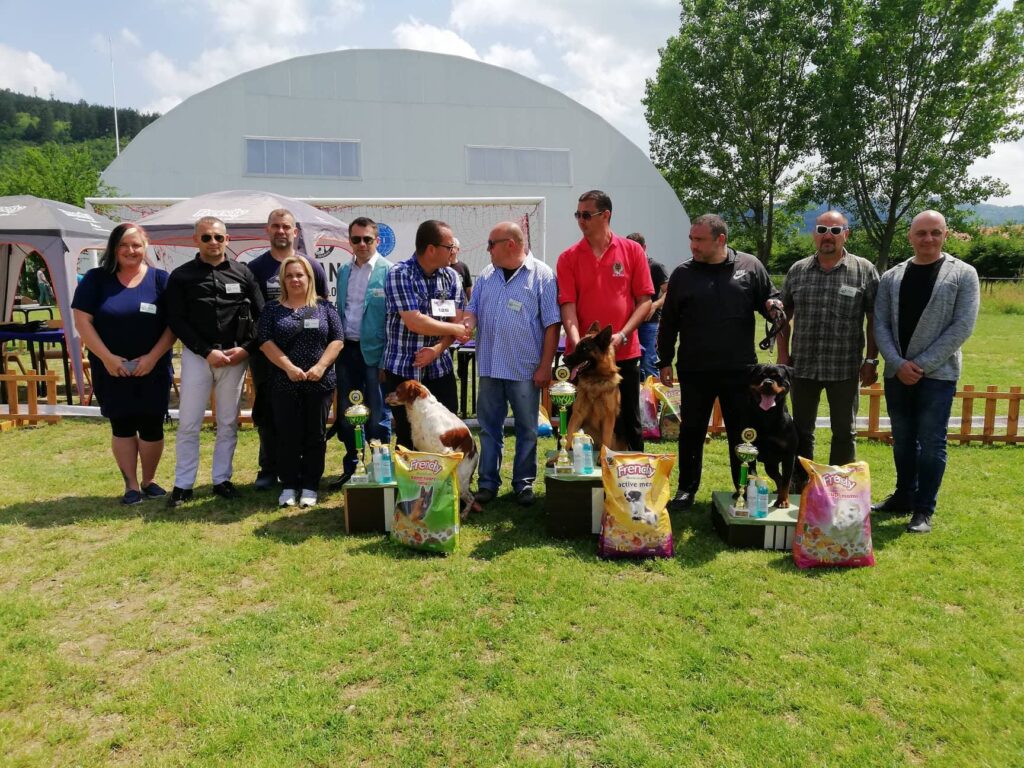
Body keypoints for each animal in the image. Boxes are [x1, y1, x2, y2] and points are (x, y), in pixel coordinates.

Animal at [385, 382, 481, 520]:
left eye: (398, 390)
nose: (387, 395)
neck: (423, 411)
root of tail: (476, 453)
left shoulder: (444, 450)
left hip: (461, 478)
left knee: (470, 498)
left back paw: (462, 514)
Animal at [561, 323, 622, 454]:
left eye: (584, 349)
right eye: (576, 347)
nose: (564, 359)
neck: (595, 381)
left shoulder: (608, 418)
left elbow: (606, 440)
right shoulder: (577, 414)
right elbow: (568, 435)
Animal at [745, 364, 798, 507]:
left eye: (778, 377)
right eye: (760, 376)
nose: (768, 383)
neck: (767, 415)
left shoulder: (788, 456)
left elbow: (786, 480)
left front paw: (783, 500)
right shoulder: (751, 451)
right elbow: (751, 476)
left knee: (782, 479)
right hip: (770, 465)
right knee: (777, 478)